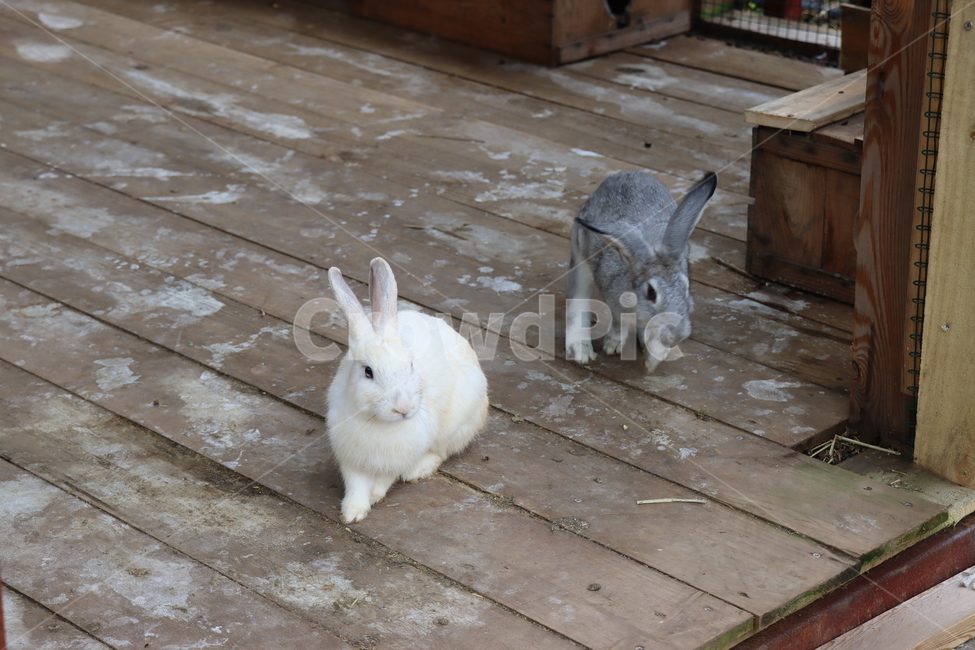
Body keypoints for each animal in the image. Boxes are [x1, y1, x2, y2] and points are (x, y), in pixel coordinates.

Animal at [327, 257, 489, 524]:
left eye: (411, 365)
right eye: (368, 372)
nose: (403, 407)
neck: (380, 424)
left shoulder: (397, 460)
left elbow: (385, 479)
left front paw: (374, 496)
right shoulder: (351, 459)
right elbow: (356, 485)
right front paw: (352, 512)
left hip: (458, 424)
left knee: (443, 451)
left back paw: (418, 470)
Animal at [565, 170, 717, 372]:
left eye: (686, 288)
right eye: (651, 293)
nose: (678, 334)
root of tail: (627, 173)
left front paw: (652, 361)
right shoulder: (614, 302)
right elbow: (618, 324)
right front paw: (613, 345)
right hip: (580, 254)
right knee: (578, 297)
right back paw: (581, 351)